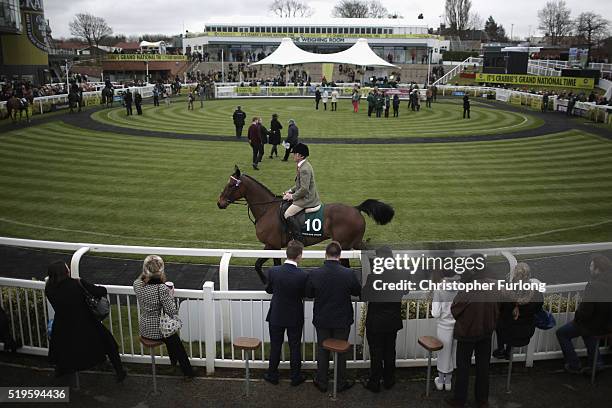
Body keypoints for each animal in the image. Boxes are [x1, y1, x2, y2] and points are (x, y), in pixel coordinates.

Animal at [218, 166, 394, 284]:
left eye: (231, 185)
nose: (220, 203)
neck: (267, 209)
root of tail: (356, 208)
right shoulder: (274, 247)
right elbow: (262, 264)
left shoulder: (272, 245)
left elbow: (258, 265)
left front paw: (266, 283)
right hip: (354, 243)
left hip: (345, 245)